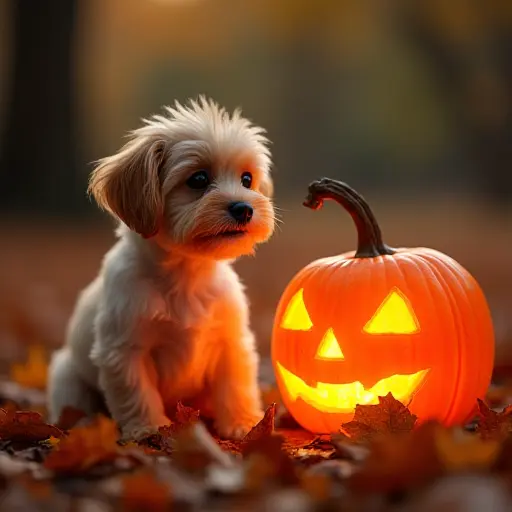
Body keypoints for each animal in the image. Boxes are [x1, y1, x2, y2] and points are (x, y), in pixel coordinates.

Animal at [47, 96, 276, 440]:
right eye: (198, 179)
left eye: (246, 179)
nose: (244, 208)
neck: (186, 274)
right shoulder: (125, 351)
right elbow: (138, 393)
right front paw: (148, 429)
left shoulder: (230, 342)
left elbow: (235, 387)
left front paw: (243, 424)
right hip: (67, 377)